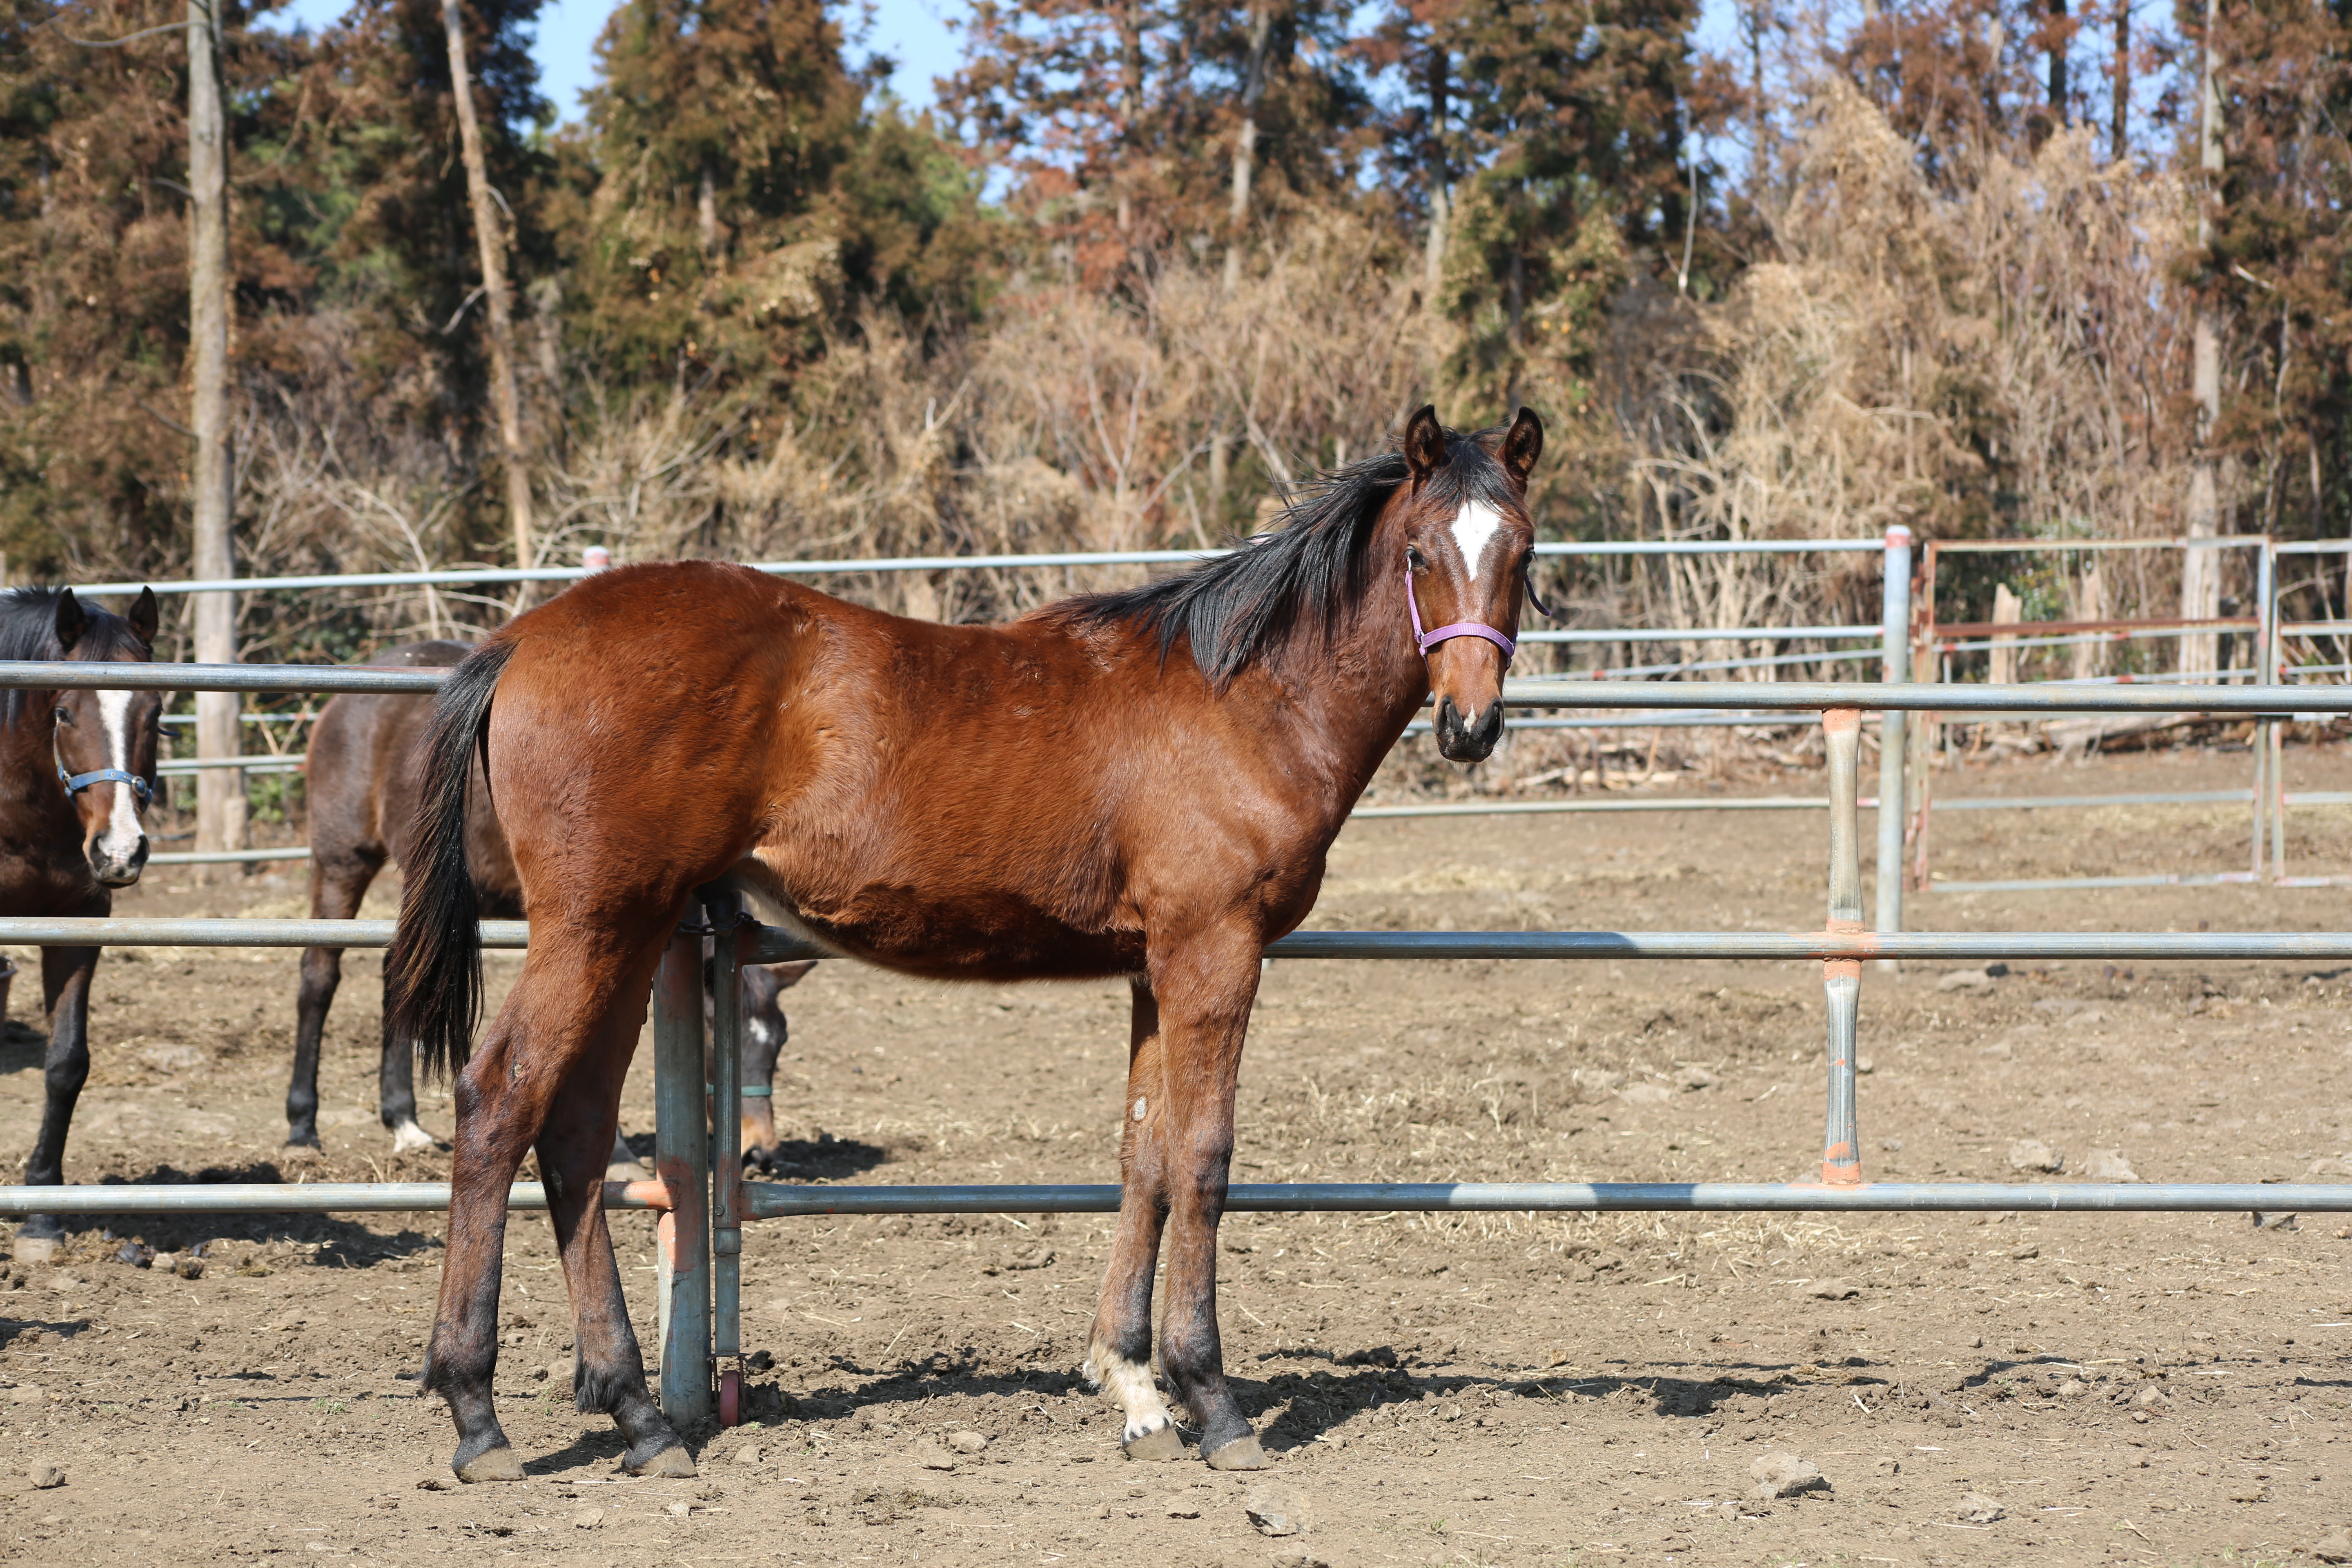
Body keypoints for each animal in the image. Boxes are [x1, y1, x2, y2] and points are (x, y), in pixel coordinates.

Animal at [293, 644, 813, 1161]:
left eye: (781, 1041)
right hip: (342, 864)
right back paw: (302, 1125)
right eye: (711, 1028)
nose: (759, 1151)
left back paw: (403, 1120)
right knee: (320, 976)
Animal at [385, 409, 1543, 1486]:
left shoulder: (1153, 966)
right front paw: (1212, 1400)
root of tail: (522, 641)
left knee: (575, 1132)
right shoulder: (1213, 952)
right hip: (593, 927)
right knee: (499, 1103)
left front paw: (1132, 1384)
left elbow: (1145, 1156)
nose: (1470, 726)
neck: (1244, 698)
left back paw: (637, 1413)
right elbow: (1204, 1161)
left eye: (1522, 552)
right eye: (1418, 554)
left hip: (628, 934)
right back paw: (478, 1414)